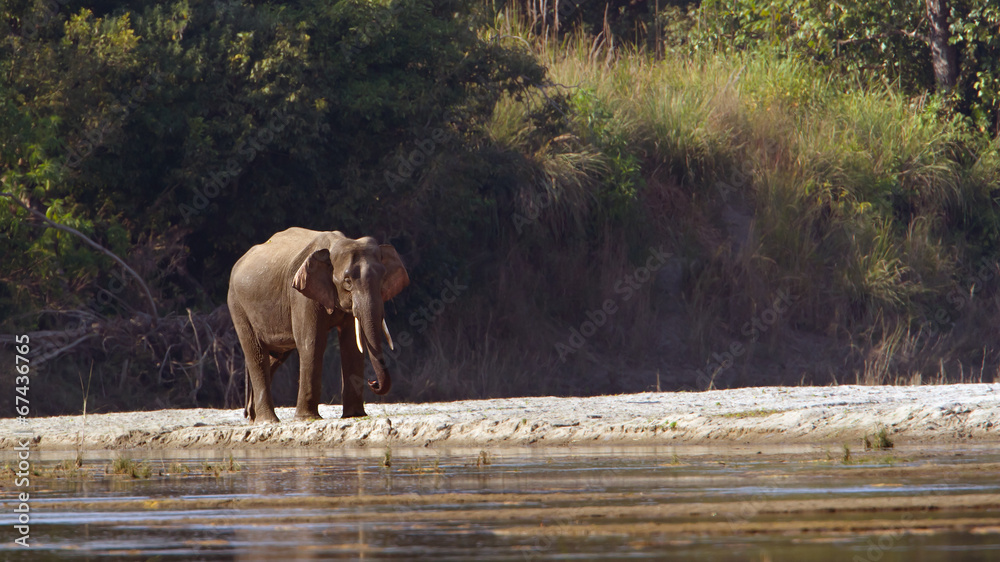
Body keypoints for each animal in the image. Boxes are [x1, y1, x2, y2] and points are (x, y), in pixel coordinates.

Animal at [228, 227, 409, 423]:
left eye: (383, 278)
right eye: (347, 281)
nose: (373, 382)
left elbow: (352, 347)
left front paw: (354, 415)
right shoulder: (301, 295)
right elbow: (312, 343)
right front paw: (306, 418)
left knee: (276, 356)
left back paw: (253, 417)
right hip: (237, 305)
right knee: (257, 354)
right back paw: (267, 421)